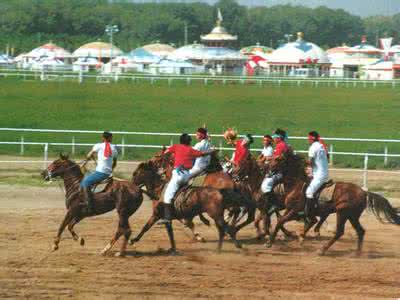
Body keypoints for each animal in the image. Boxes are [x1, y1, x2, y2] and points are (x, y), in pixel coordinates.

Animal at [264, 152, 398, 255]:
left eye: (277, 159)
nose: (267, 169)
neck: (296, 184)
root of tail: (364, 192)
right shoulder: (290, 210)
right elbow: (281, 220)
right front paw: (298, 237)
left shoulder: (295, 211)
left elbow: (281, 221)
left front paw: (270, 242)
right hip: (352, 216)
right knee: (360, 231)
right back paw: (357, 252)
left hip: (342, 213)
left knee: (339, 232)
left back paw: (322, 250)